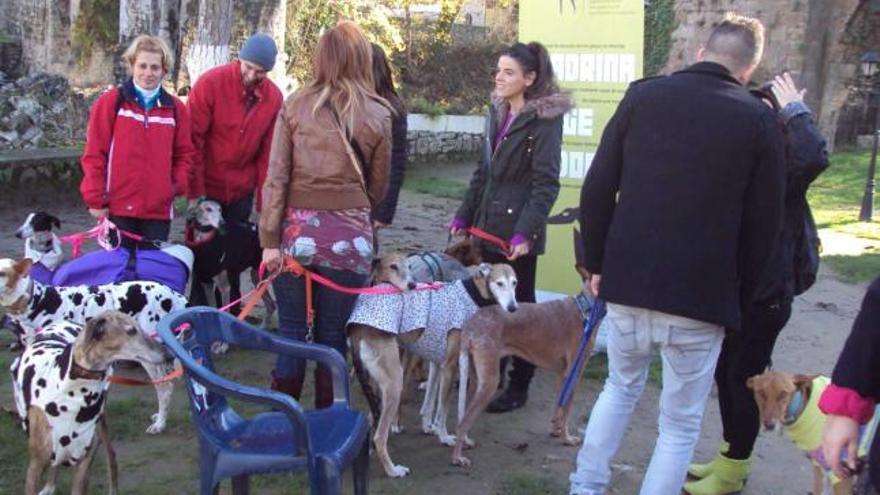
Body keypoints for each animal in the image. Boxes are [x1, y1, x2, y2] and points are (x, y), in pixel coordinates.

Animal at [0, 258, 187, 436]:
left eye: (2, 273)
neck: (36, 301)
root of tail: (176, 296)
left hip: (149, 359)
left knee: (165, 389)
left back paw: (160, 423)